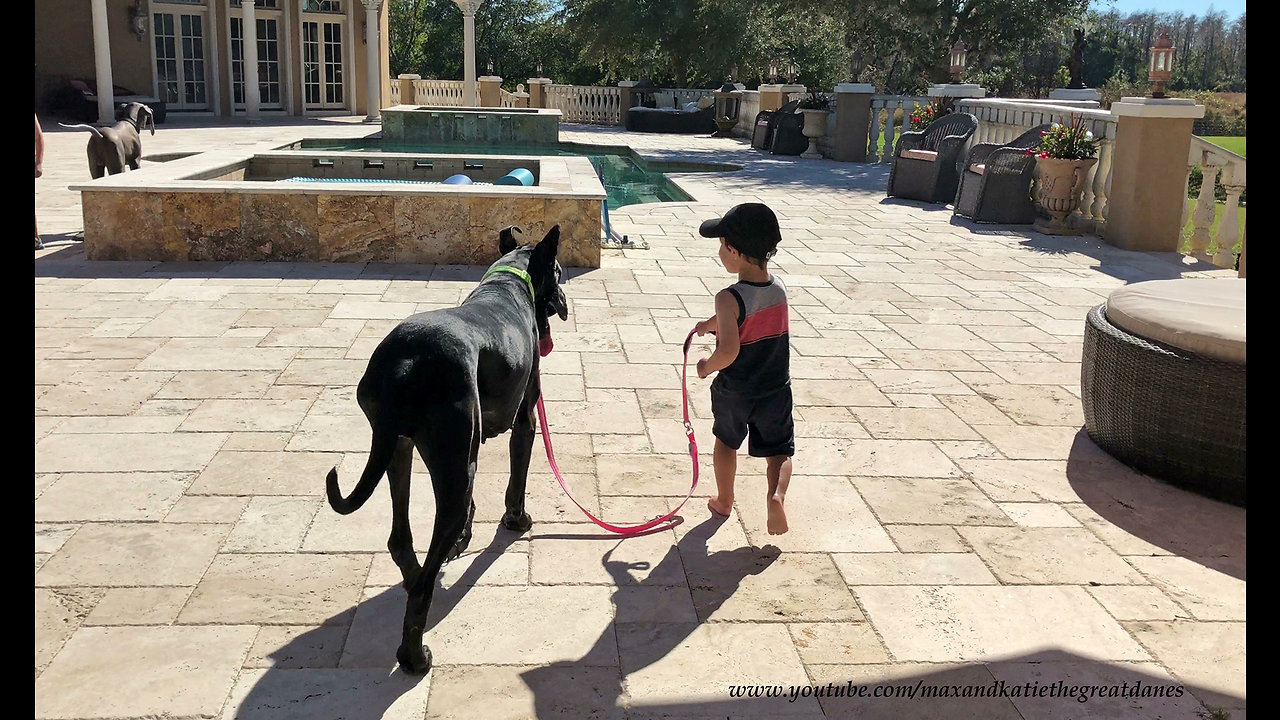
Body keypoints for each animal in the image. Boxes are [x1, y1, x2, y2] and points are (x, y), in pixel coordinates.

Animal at [327, 224, 568, 671]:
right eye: (559, 272)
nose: (563, 303)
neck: (509, 279)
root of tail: (405, 364)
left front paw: (465, 540)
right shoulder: (525, 419)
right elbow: (517, 481)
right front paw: (517, 520)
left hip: (401, 449)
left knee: (402, 542)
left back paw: (419, 575)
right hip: (452, 459)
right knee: (425, 577)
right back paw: (413, 655)